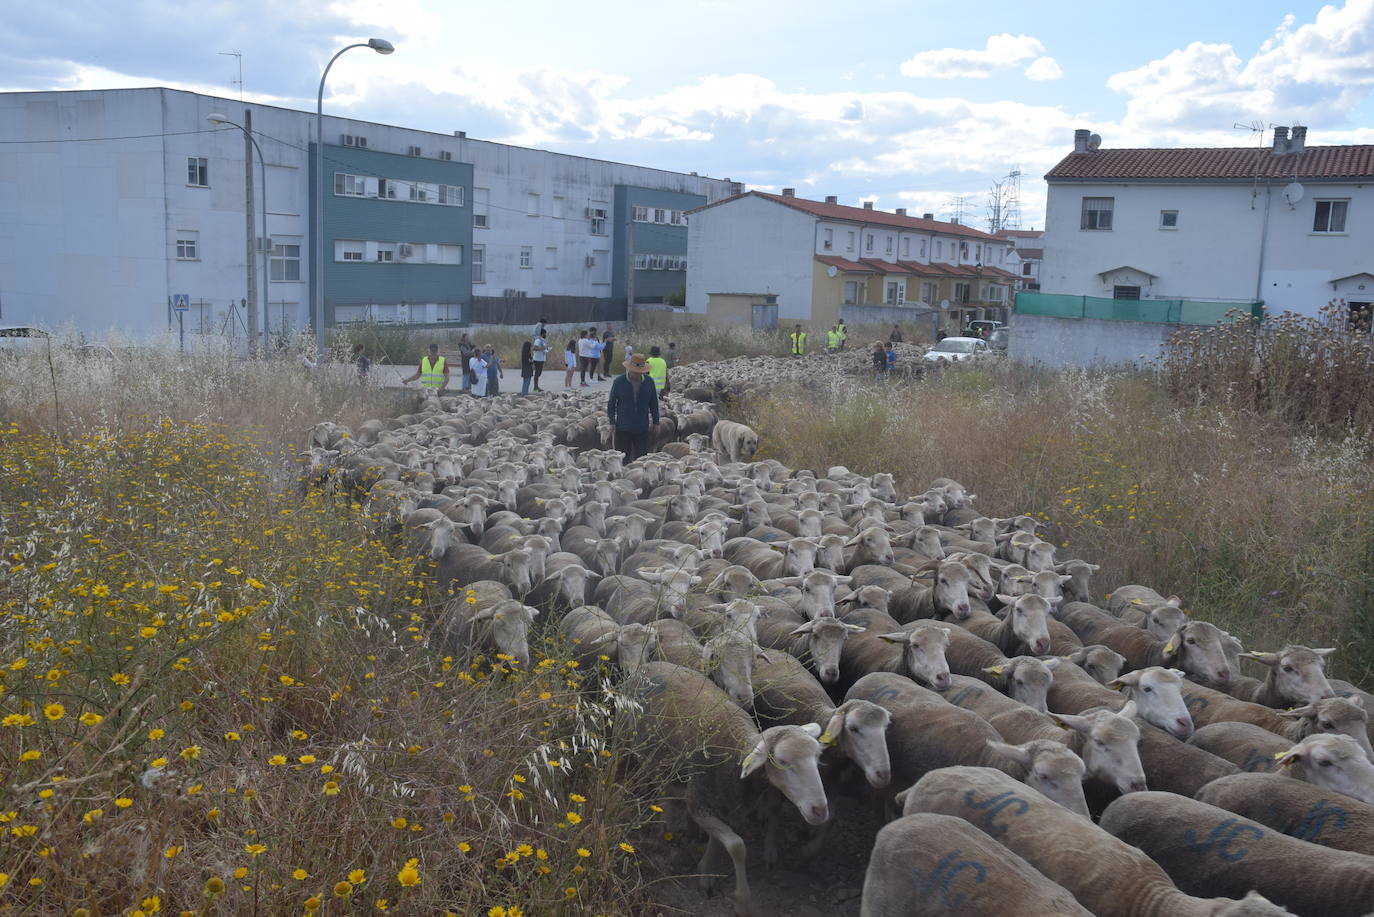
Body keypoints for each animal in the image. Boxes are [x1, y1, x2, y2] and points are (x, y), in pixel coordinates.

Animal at [618, 661, 826, 917]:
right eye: (782, 761)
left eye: (818, 756)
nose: (820, 810)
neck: (734, 751)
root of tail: (649, 664)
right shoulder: (699, 805)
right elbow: (737, 846)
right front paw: (742, 901)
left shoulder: (728, 806)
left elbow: (719, 842)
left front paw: (705, 872)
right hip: (629, 746)